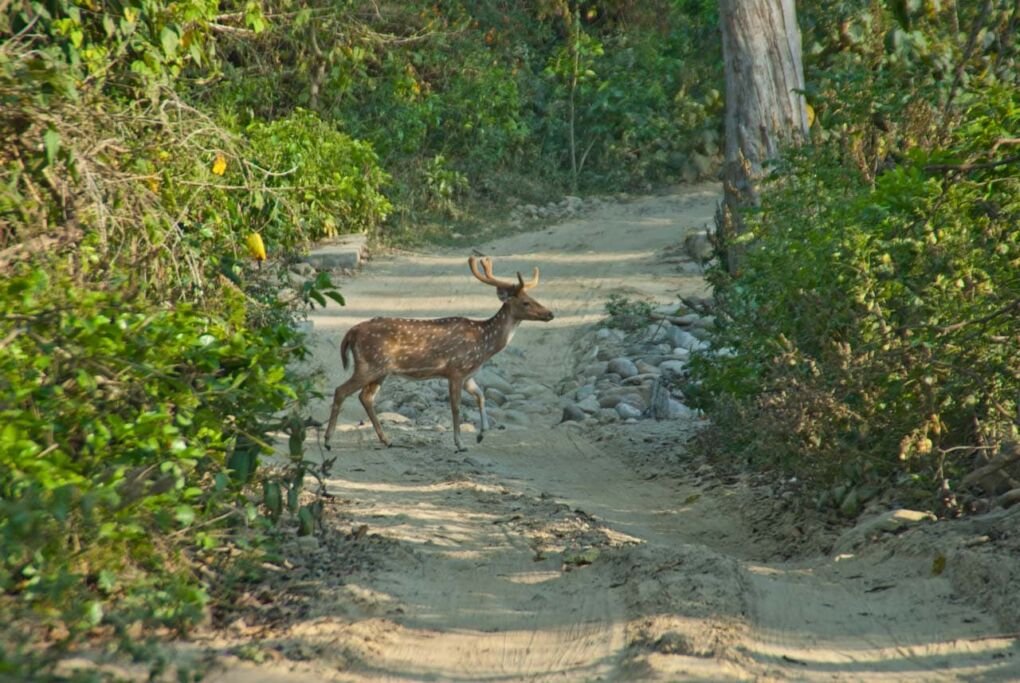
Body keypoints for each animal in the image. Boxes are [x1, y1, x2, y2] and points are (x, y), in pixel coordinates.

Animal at [324, 256, 550, 454]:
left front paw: (481, 434)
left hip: (381, 370)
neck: (483, 345)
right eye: (526, 302)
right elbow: (456, 407)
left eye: (534, 298)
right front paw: (460, 444)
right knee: (341, 391)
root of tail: (351, 332)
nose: (550, 313)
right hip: (369, 364)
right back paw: (328, 441)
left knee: (365, 397)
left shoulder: (468, 374)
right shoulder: (456, 369)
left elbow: (481, 396)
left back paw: (387, 440)